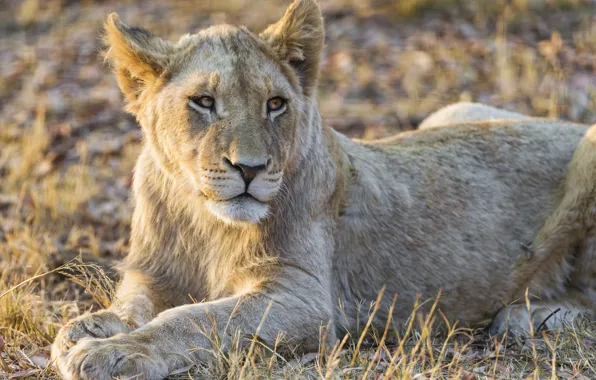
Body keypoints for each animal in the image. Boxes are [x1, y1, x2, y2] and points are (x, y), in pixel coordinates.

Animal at [51, 1, 596, 378]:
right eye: (203, 101)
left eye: (275, 104)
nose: (250, 169)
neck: (202, 217)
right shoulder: (151, 273)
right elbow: (134, 304)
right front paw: (90, 326)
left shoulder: (304, 298)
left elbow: (194, 318)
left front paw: (114, 351)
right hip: (454, 110)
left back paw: (527, 317)